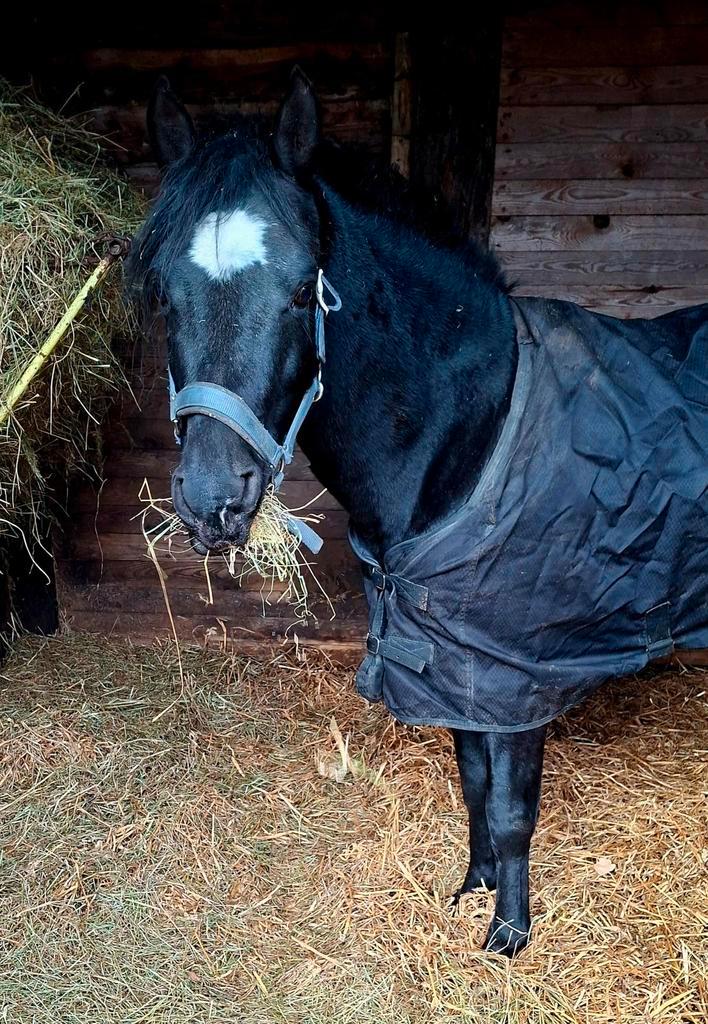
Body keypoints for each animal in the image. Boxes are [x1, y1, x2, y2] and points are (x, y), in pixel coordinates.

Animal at [127, 70, 708, 957]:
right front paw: (472, 891)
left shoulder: (517, 671)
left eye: (300, 290)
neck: (474, 423)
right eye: (165, 291)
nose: (211, 499)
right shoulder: (453, 656)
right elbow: (470, 780)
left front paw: (508, 937)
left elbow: (510, 806)